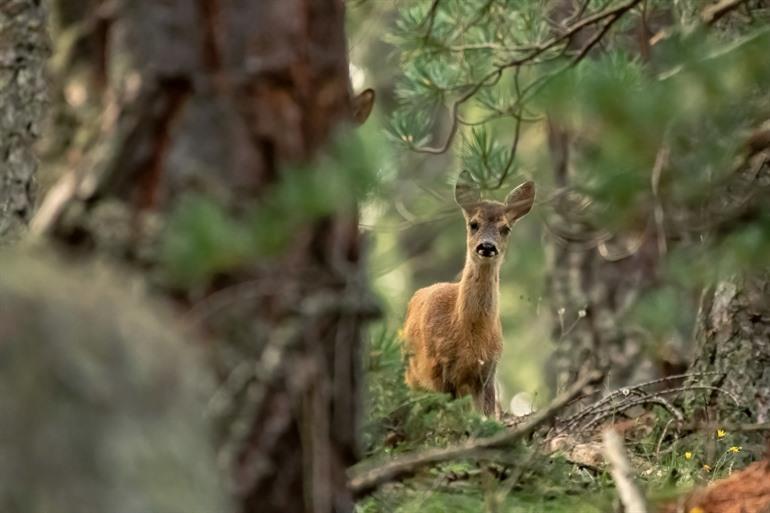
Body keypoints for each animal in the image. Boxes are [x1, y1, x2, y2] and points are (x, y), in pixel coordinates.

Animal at [401, 170, 536, 417]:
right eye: (474, 224)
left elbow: (488, 416)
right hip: (413, 376)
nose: (487, 246)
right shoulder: (438, 368)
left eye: (505, 228)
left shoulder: (488, 370)